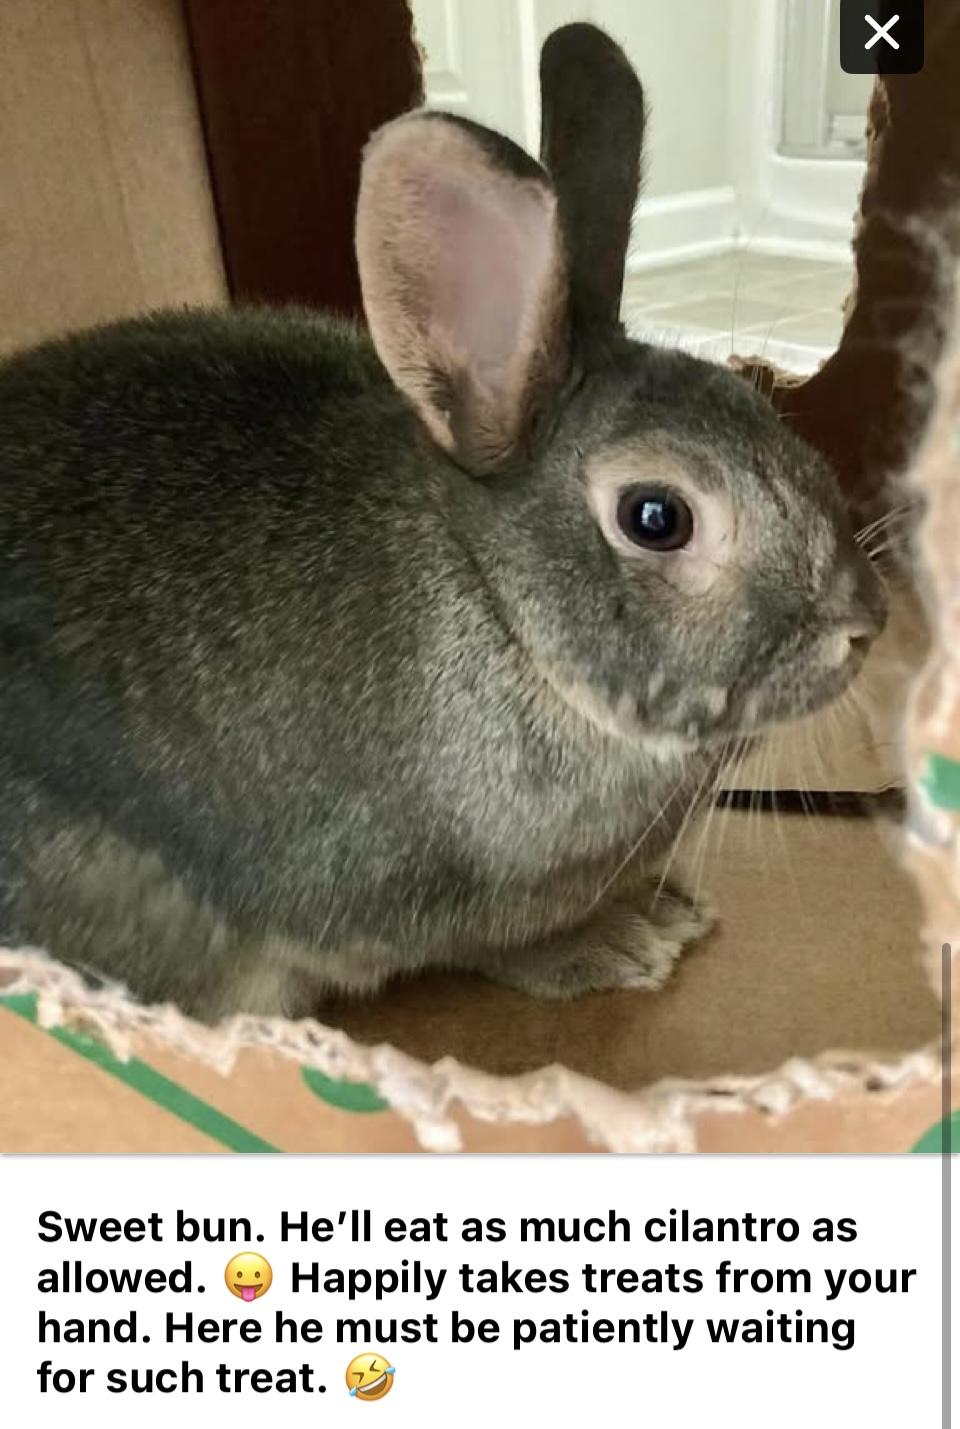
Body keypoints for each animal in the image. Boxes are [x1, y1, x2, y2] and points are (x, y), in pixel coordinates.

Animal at [0, 23, 885, 1021]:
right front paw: (620, 943)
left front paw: (669, 907)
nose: (865, 623)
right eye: (656, 516)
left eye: (762, 404)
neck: (500, 606)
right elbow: (489, 946)